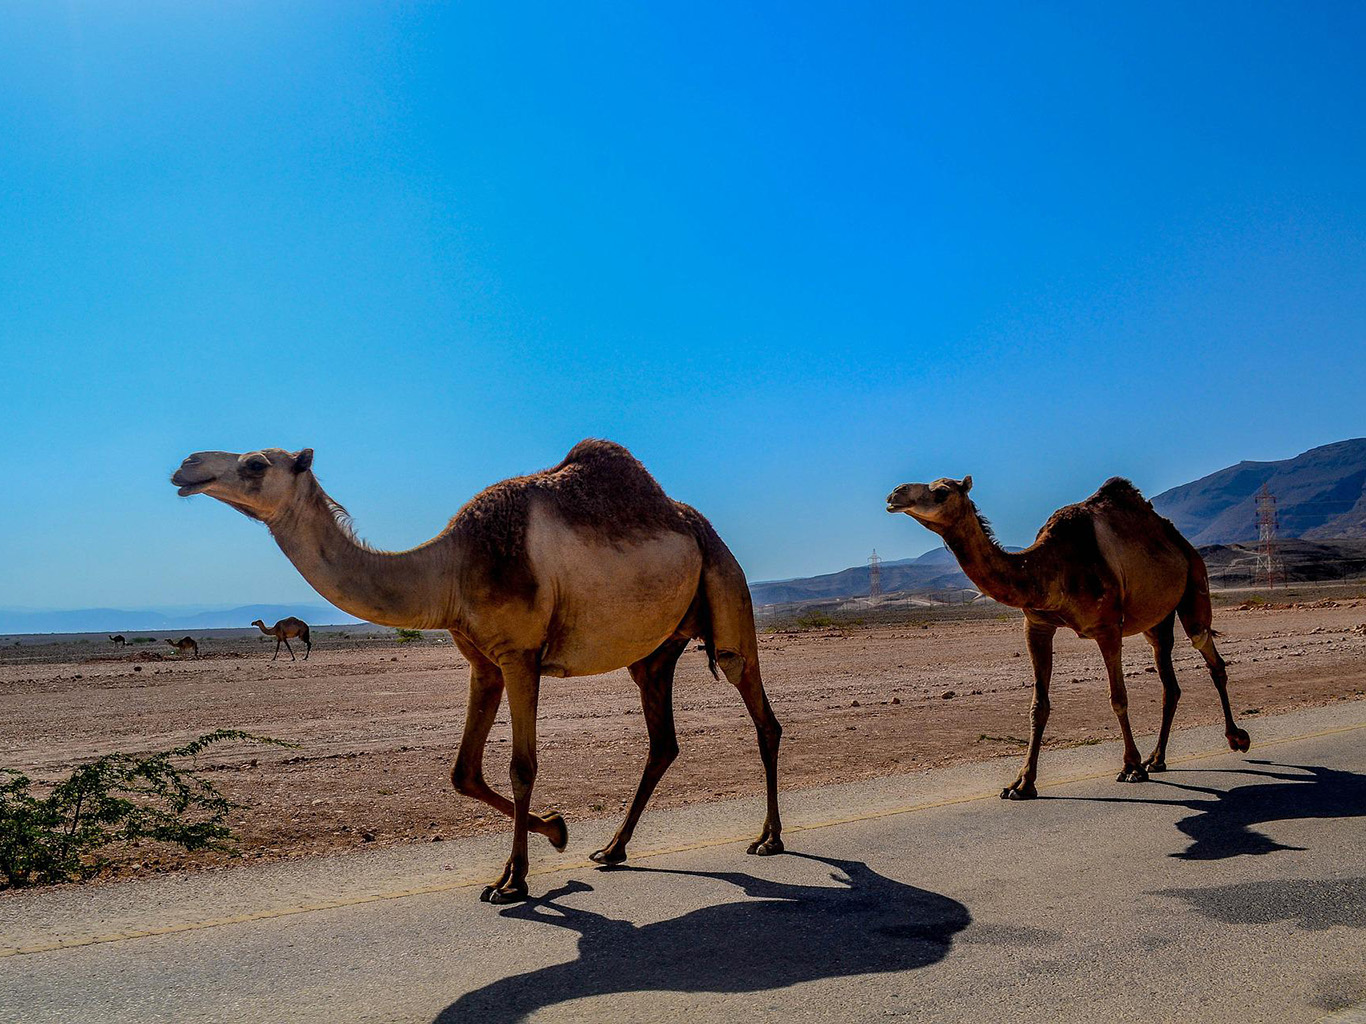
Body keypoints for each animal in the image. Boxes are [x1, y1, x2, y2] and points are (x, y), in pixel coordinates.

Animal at [176, 442, 786, 906]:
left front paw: (513, 881)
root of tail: (699, 526)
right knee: (662, 741)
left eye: (255, 463)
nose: (186, 467)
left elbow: (521, 767)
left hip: (725, 586)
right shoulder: (483, 663)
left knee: (759, 709)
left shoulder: (520, 656)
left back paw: (769, 840)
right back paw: (612, 850)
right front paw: (556, 831)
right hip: (656, 652)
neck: (452, 568)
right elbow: (463, 773)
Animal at [885, 477, 1251, 797]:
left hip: (1195, 583)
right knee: (1169, 683)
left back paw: (1236, 738)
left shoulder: (1107, 627)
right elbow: (1038, 706)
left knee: (1208, 651)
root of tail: (1181, 543)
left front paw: (1130, 767)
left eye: (942, 491)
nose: (895, 494)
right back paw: (1157, 759)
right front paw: (1022, 783)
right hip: (1156, 621)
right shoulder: (1036, 625)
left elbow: (1118, 698)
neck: (1049, 568)